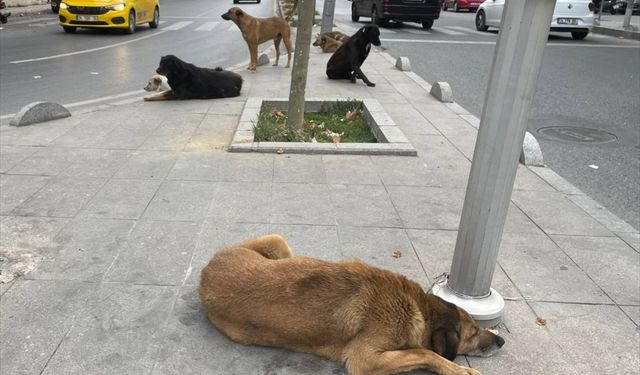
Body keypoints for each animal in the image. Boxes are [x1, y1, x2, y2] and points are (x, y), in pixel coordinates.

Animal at [200, 235, 504, 375]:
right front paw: (457, 369)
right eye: (473, 333)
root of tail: (206, 270)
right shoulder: (364, 359)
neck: (417, 307)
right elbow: (425, 352)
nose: (501, 342)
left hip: (279, 244)